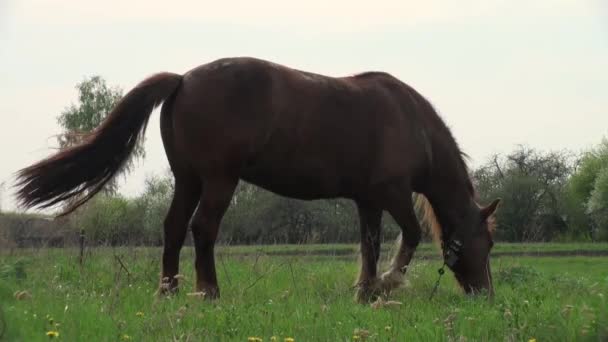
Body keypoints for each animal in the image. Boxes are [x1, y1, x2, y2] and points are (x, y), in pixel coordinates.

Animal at [14, 56, 498, 302]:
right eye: (489, 243)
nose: (487, 294)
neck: (412, 124)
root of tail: (183, 79)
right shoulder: (392, 193)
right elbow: (410, 237)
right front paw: (387, 283)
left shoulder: (367, 201)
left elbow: (370, 245)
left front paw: (365, 290)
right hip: (219, 180)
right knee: (203, 229)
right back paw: (208, 291)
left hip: (188, 180)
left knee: (174, 229)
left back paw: (170, 291)